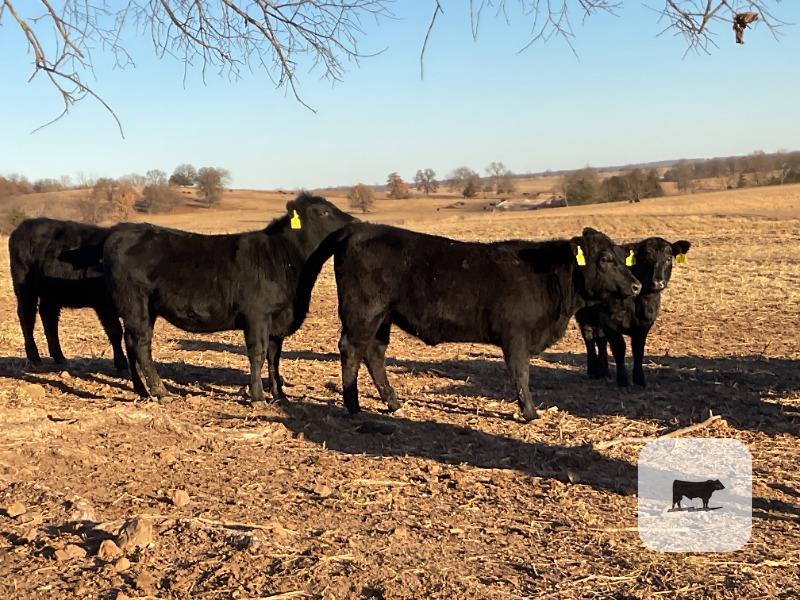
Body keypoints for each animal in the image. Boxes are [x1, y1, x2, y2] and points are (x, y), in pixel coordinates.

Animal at [8, 218, 127, 370]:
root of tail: (23, 225)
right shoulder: (104, 304)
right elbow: (115, 331)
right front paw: (121, 363)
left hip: (50, 294)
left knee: (48, 317)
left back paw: (59, 357)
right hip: (25, 289)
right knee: (27, 317)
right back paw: (34, 358)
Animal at [101, 193, 355, 404]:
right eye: (323, 212)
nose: (353, 223)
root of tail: (120, 231)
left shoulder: (278, 320)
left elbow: (274, 358)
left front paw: (279, 395)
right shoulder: (257, 316)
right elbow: (258, 354)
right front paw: (257, 397)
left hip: (144, 309)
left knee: (131, 343)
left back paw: (142, 390)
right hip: (136, 305)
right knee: (141, 344)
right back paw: (160, 391)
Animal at [313, 224, 641, 422]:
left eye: (622, 256)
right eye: (605, 259)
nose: (637, 286)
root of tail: (361, 227)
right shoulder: (516, 338)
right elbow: (521, 375)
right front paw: (530, 413)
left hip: (382, 318)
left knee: (374, 354)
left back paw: (393, 402)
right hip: (363, 313)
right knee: (351, 350)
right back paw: (353, 406)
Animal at [575, 237, 691, 387]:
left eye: (668, 258)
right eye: (645, 258)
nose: (658, 283)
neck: (637, 300)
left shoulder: (645, 323)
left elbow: (638, 349)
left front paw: (639, 379)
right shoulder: (610, 321)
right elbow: (619, 348)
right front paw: (623, 380)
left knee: (601, 341)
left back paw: (604, 371)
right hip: (583, 316)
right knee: (589, 338)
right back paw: (593, 370)